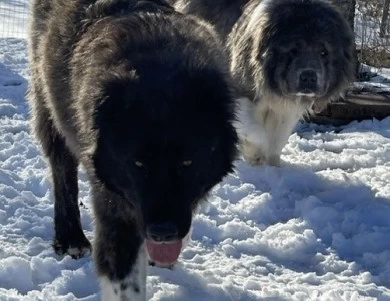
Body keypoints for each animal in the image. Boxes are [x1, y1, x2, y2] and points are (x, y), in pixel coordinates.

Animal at [27, 0, 236, 298]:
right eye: (137, 164)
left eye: (188, 163)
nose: (163, 232)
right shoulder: (115, 205)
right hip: (48, 109)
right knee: (63, 173)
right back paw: (70, 238)